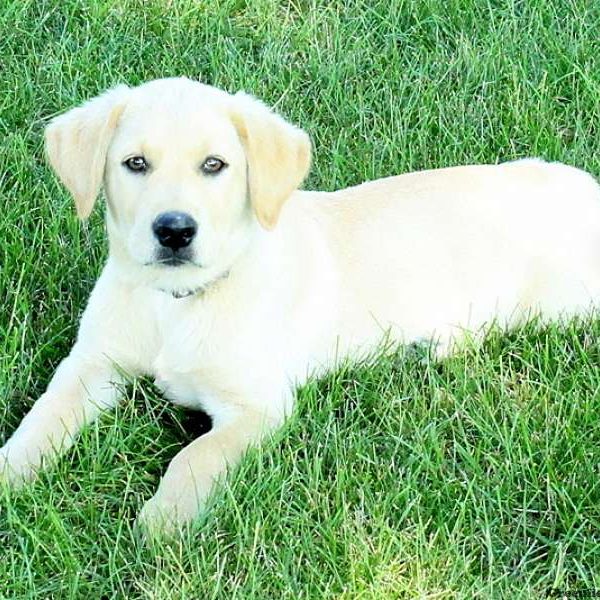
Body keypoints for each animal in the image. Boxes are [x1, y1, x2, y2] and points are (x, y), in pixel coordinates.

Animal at [1, 76, 600, 536]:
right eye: (135, 163)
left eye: (214, 165)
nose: (173, 231)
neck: (179, 302)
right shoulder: (92, 365)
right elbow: (42, 417)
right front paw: (10, 473)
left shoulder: (260, 407)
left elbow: (197, 455)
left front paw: (166, 520)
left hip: (562, 304)